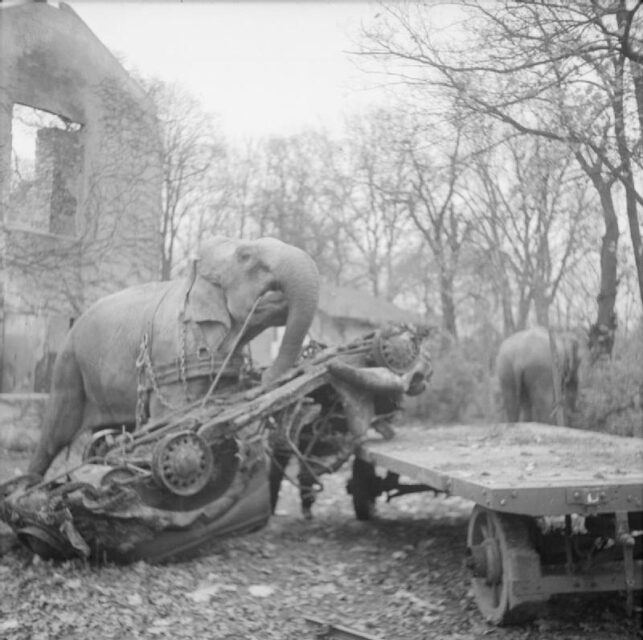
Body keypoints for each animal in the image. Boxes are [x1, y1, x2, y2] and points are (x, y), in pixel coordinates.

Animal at [28, 235, 320, 476]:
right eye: (246, 255)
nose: (267, 376)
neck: (192, 279)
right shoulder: (170, 352)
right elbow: (170, 420)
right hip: (69, 365)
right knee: (56, 433)